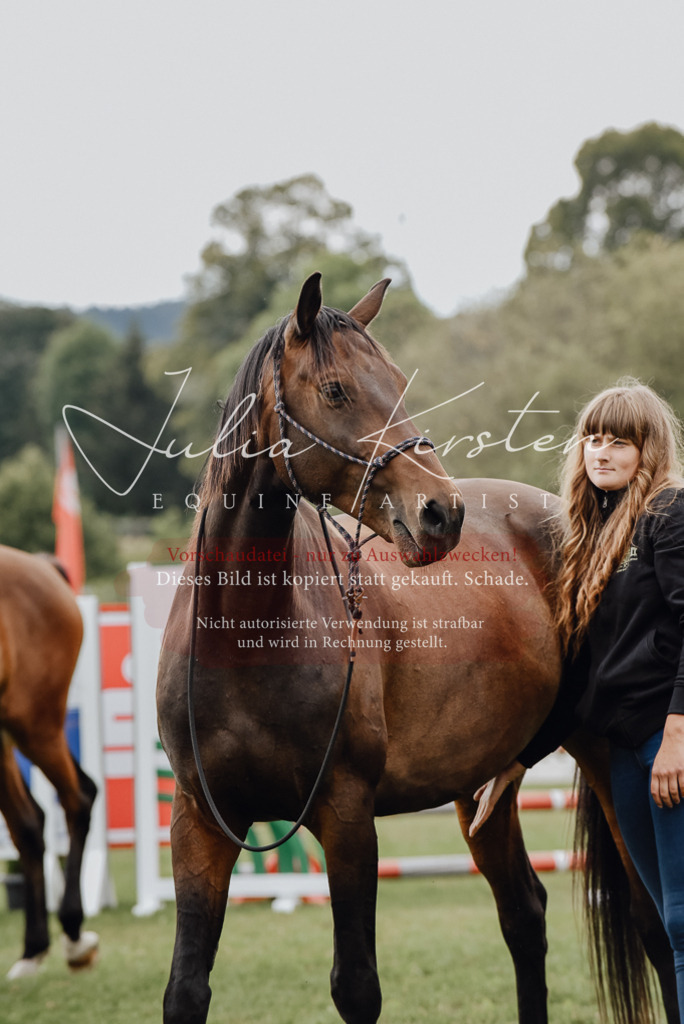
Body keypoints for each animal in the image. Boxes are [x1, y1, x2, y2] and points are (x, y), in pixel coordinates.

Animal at [157, 273, 676, 1024]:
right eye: (336, 390)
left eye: (401, 382)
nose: (442, 513)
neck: (246, 640)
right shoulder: (200, 824)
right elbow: (186, 990)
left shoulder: (347, 819)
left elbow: (356, 987)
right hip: (482, 790)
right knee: (525, 915)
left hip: (611, 764)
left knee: (653, 926)